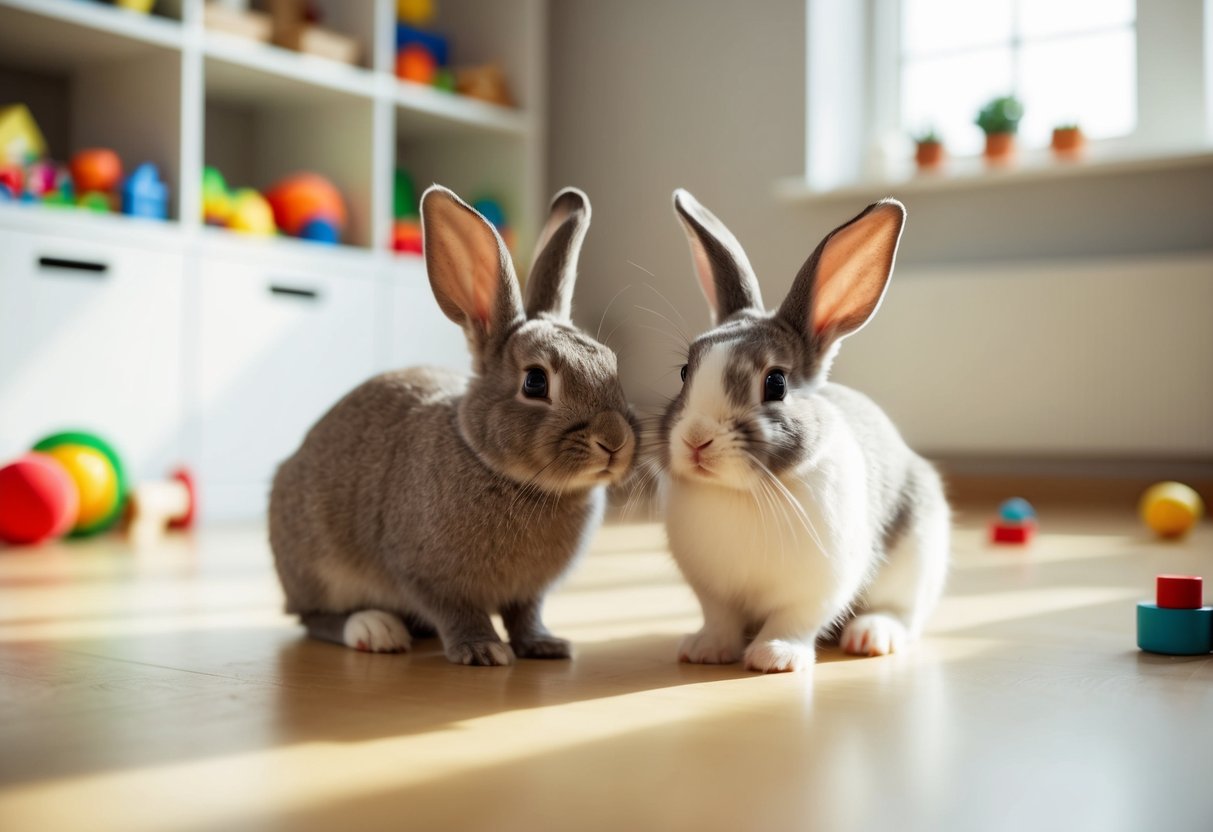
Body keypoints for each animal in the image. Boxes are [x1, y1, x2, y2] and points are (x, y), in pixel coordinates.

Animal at [269, 185, 636, 666]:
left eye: (611, 365)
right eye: (535, 382)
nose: (614, 440)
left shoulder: (529, 593)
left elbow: (526, 615)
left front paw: (544, 645)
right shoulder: (426, 574)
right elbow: (457, 611)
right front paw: (483, 650)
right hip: (319, 567)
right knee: (313, 618)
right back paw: (374, 629)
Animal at [656, 189, 950, 673]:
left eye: (776, 383)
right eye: (684, 372)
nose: (696, 439)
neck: (745, 493)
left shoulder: (817, 589)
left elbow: (792, 620)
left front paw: (774, 657)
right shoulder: (713, 593)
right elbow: (720, 620)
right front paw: (705, 650)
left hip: (917, 558)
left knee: (902, 614)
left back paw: (871, 637)